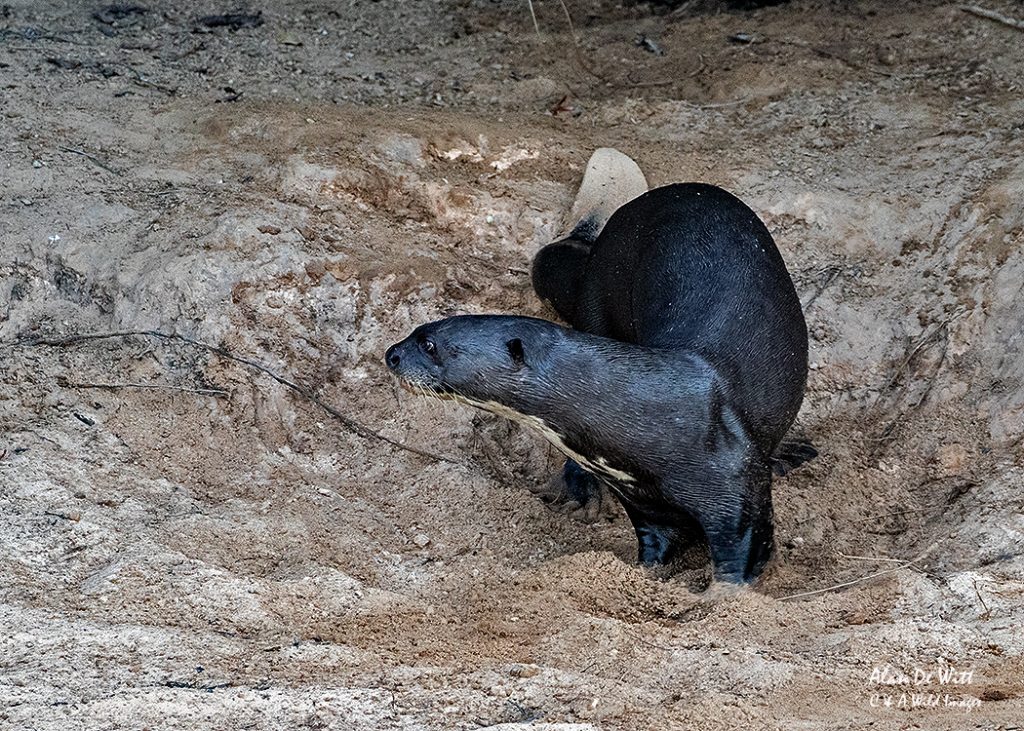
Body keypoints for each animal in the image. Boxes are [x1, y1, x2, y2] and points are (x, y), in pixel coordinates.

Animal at [385, 151, 812, 583]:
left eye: (429, 344)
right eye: (417, 331)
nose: (392, 354)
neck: (650, 415)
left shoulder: (736, 487)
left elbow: (741, 557)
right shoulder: (644, 501)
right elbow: (658, 544)